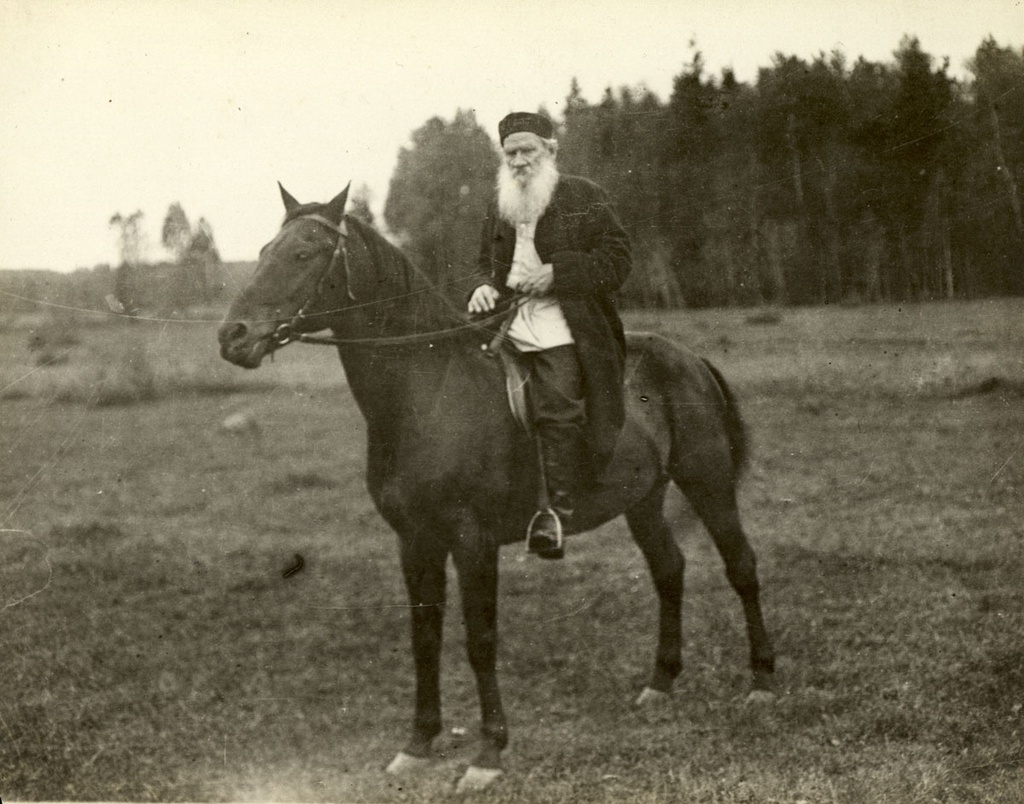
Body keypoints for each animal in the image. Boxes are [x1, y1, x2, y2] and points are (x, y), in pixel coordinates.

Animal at [218, 182, 774, 790]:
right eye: (264, 250)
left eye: (303, 254)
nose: (232, 336)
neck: (428, 392)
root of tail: (689, 357)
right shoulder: (415, 541)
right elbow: (424, 635)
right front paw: (417, 744)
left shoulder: (472, 540)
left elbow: (479, 640)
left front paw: (487, 754)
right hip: (643, 498)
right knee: (669, 569)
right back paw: (661, 683)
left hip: (708, 481)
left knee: (741, 567)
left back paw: (762, 683)